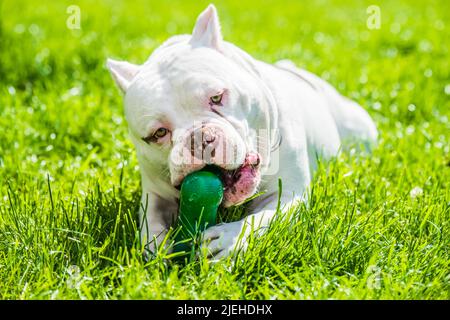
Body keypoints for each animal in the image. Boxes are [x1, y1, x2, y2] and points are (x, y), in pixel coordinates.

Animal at [105, 3, 376, 258]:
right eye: (159, 134)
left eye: (216, 97)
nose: (199, 139)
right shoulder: (154, 195)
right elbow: (149, 222)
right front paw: (155, 251)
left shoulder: (289, 195)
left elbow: (263, 218)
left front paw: (229, 240)